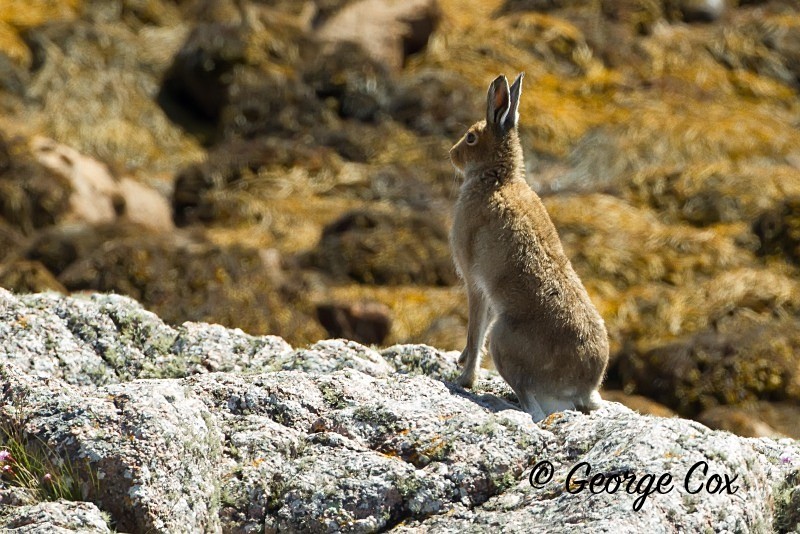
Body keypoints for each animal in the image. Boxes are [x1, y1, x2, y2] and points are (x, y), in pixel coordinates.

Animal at [448, 73, 609, 422]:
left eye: (471, 137)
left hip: (503, 339)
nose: (452, 154)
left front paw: (463, 379)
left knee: (533, 409)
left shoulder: (474, 284)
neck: (497, 178)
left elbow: (475, 332)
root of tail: (583, 388)